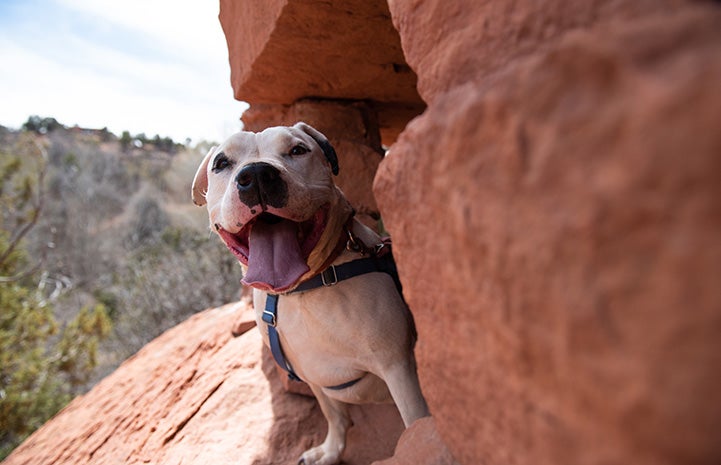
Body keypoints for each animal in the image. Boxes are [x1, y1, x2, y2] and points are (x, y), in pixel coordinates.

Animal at [191, 122, 428, 464]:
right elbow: (335, 416)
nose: (257, 175)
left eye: (297, 150)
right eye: (222, 163)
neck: (304, 288)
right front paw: (330, 451)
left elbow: (415, 422)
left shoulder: (399, 369)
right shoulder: (310, 372)